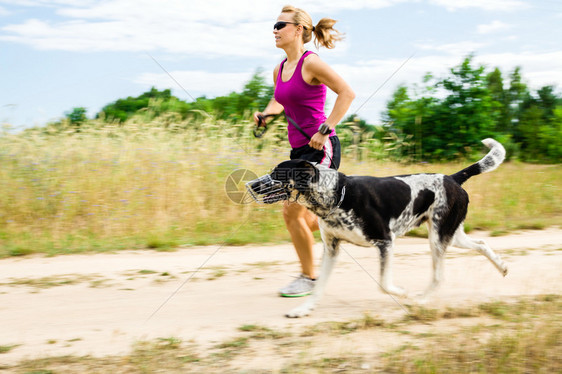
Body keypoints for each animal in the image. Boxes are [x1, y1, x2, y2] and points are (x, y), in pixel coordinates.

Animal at [247, 139, 506, 318]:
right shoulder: (332, 249)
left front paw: (403, 293)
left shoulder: (385, 242)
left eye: (277, 173)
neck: (337, 195)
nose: (251, 184)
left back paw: (420, 301)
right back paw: (502, 267)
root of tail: (453, 178)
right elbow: (318, 286)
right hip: (451, 235)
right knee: (482, 244)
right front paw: (303, 309)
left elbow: (383, 284)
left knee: (439, 276)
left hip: (438, 238)